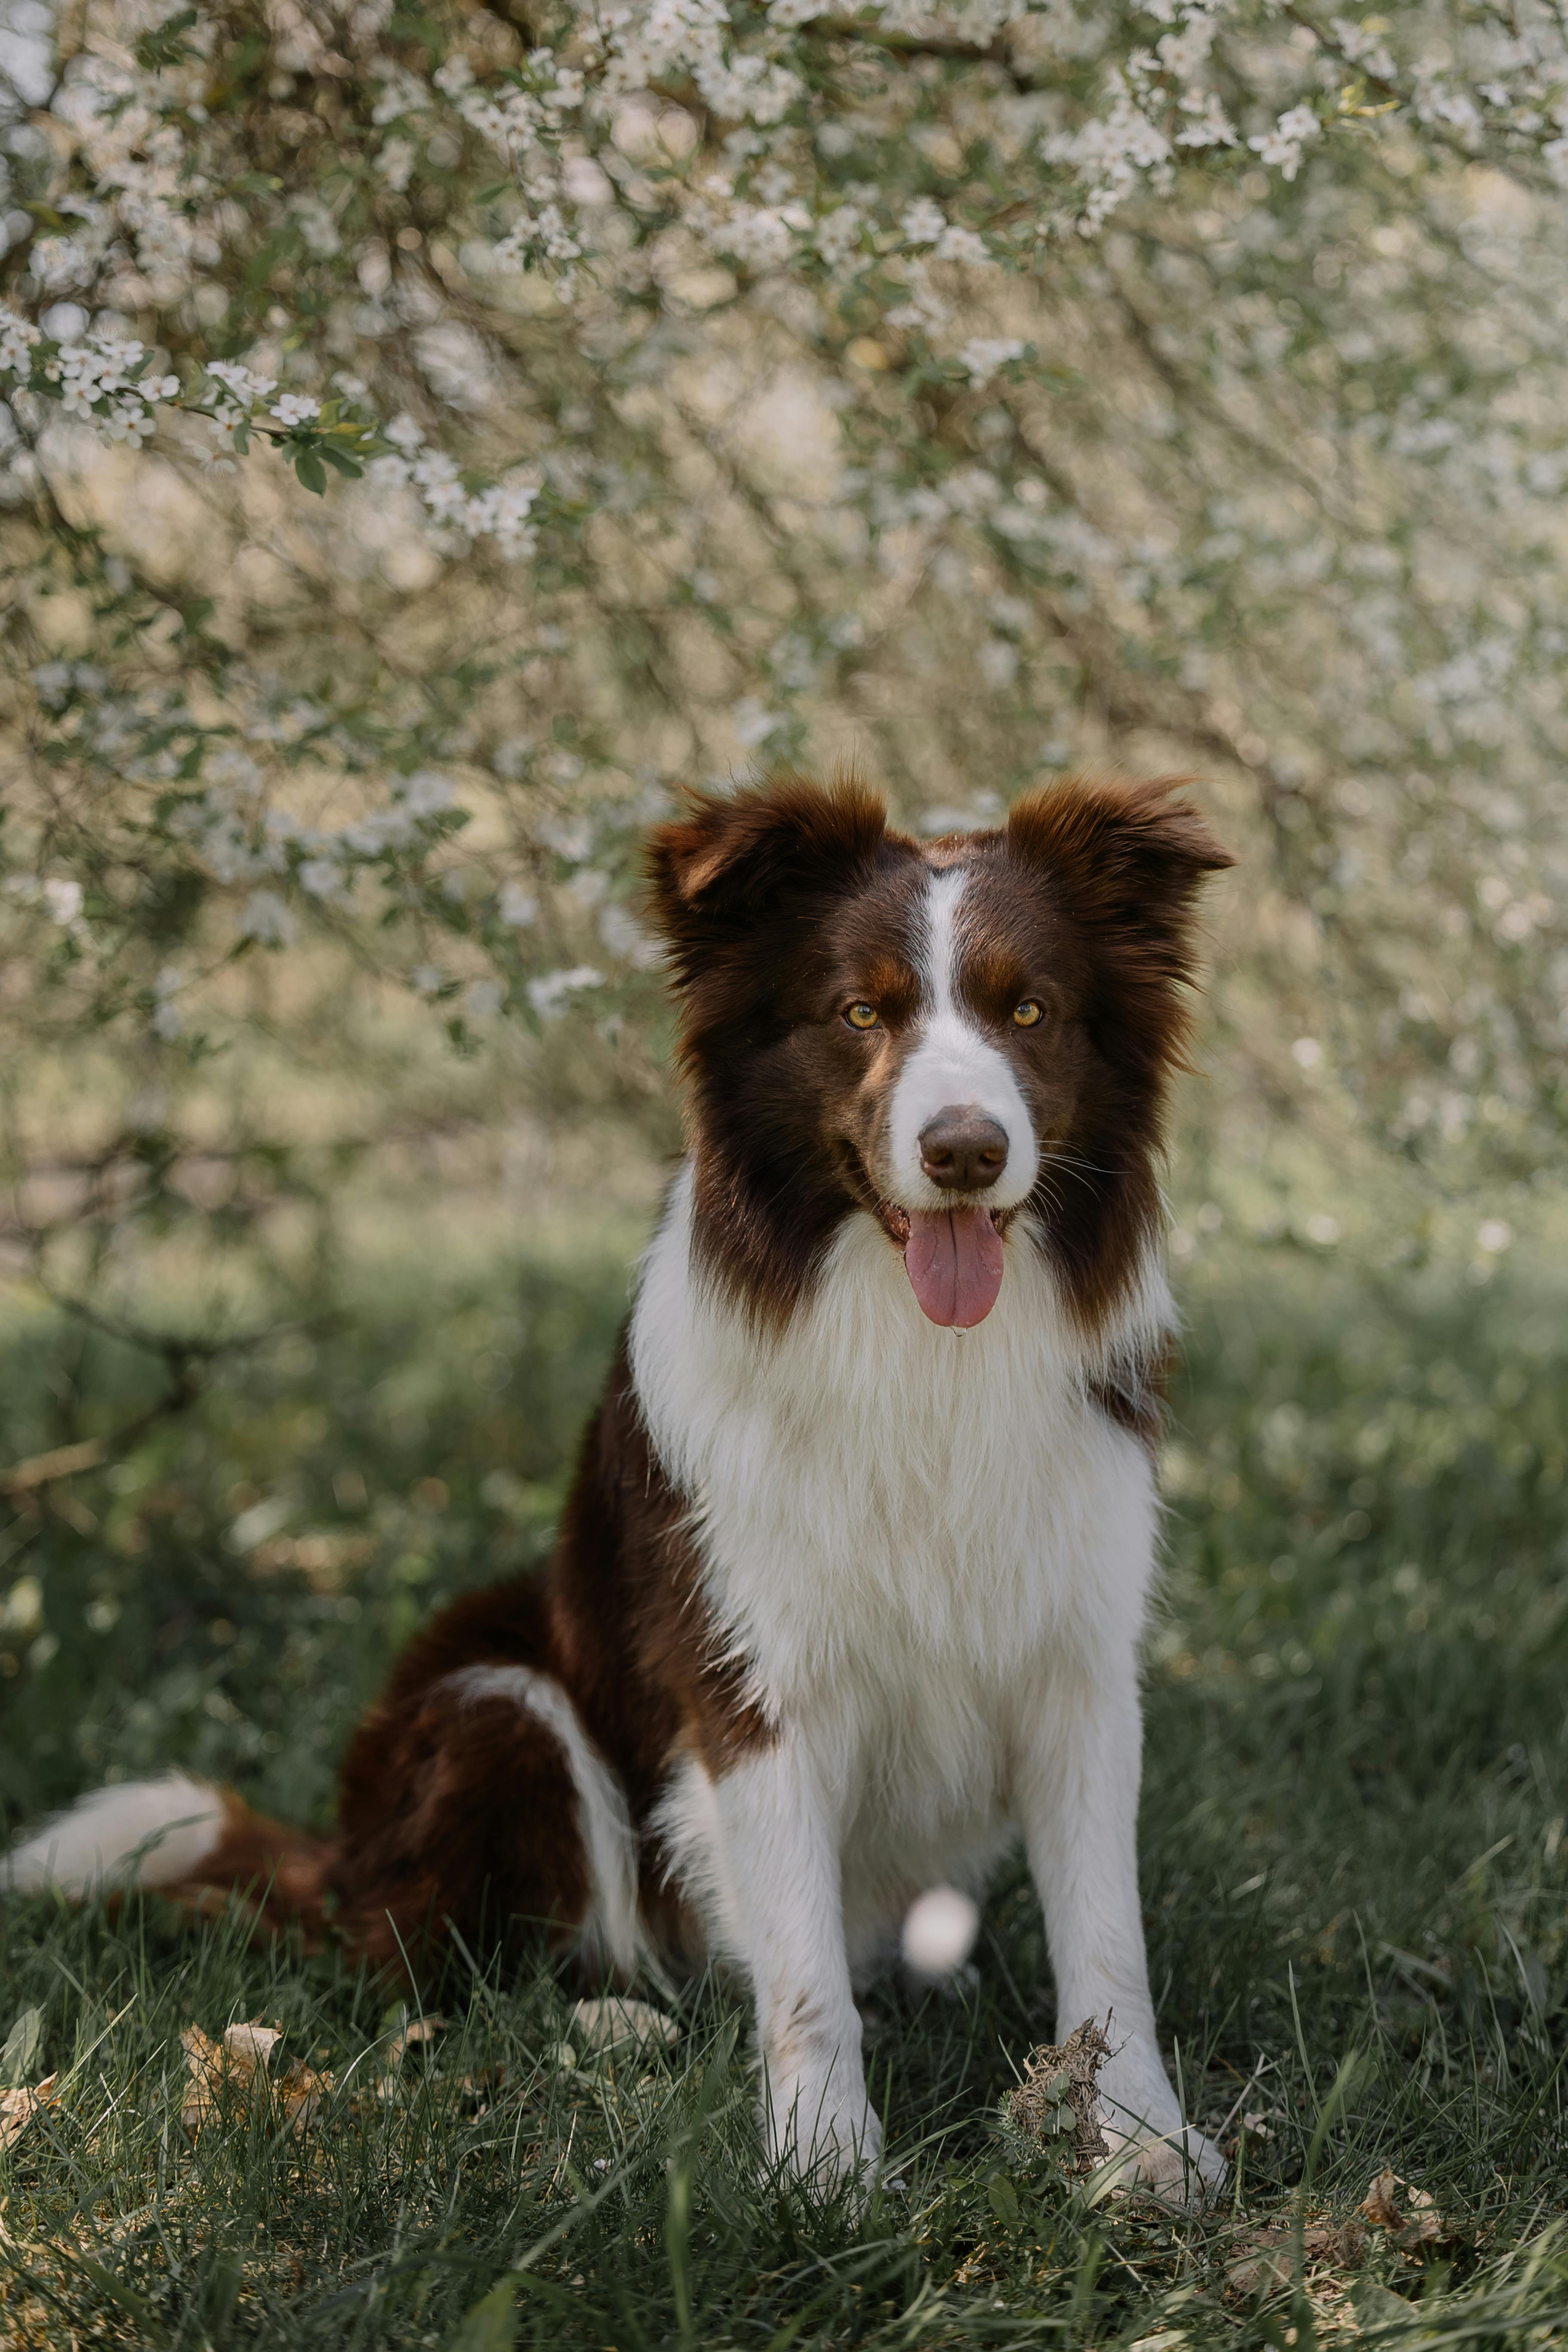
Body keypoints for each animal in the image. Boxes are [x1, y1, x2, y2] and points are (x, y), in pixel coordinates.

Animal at [9, 776, 1241, 2201]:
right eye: (860, 1013)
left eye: (1028, 1010)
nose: (965, 1152)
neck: (916, 1345)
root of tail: (348, 1862)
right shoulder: (750, 1672)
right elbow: (802, 1972)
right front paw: (825, 2172)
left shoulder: (1078, 1660)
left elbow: (1109, 1943)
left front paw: (1139, 2142)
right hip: (495, 1699)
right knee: (446, 1956)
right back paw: (615, 2023)